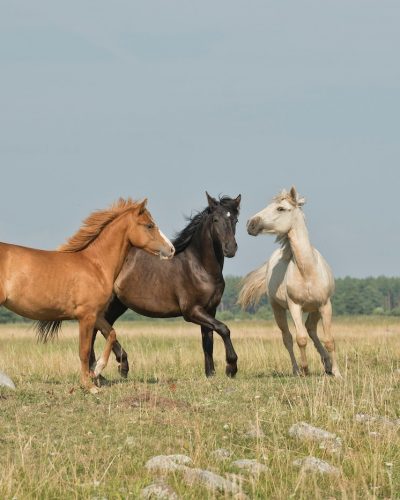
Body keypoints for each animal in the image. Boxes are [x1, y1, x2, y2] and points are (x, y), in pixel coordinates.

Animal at [0, 197, 174, 392]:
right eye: (149, 225)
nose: (171, 250)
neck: (95, 265)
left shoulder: (96, 314)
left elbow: (111, 334)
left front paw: (97, 370)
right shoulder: (86, 316)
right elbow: (84, 350)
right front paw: (90, 385)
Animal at [90, 192, 241, 378]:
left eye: (235, 220)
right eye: (215, 220)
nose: (230, 248)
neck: (200, 267)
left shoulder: (210, 309)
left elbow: (208, 341)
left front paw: (210, 374)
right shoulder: (192, 311)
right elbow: (223, 328)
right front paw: (231, 367)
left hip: (117, 304)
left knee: (101, 328)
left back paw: (105, 370)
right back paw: (110, 367)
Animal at [239, 186, 342, 376]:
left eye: (281, 208)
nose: (250, 224)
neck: (307, 271)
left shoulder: (325, 305)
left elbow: (329, 340)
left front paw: (337, 373)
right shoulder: (295, 306)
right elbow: (300, 339)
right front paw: (305, 370)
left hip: (315, 309)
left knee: (311, 329)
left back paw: (327, 364)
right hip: (278, 309)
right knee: (287, 338)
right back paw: (296, 370)